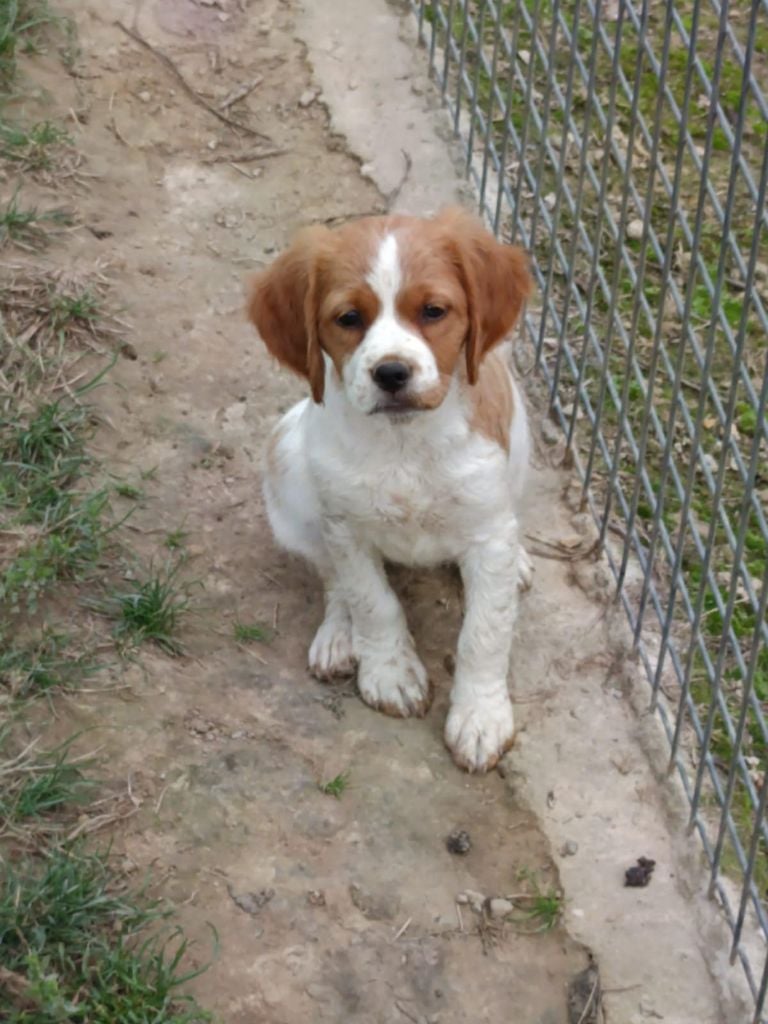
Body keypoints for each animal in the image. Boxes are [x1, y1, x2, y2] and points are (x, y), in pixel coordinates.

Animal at [247, 208, 534, 773]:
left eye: (433, 311)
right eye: (347, 319)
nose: (392, 373)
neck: (405, 443)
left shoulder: (489, 533)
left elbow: (485, 632)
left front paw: (481, 717)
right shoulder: (345, 528)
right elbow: (371, 600)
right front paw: (390, 673)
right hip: (288, 466)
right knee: (331, 580)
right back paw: (339, 638)